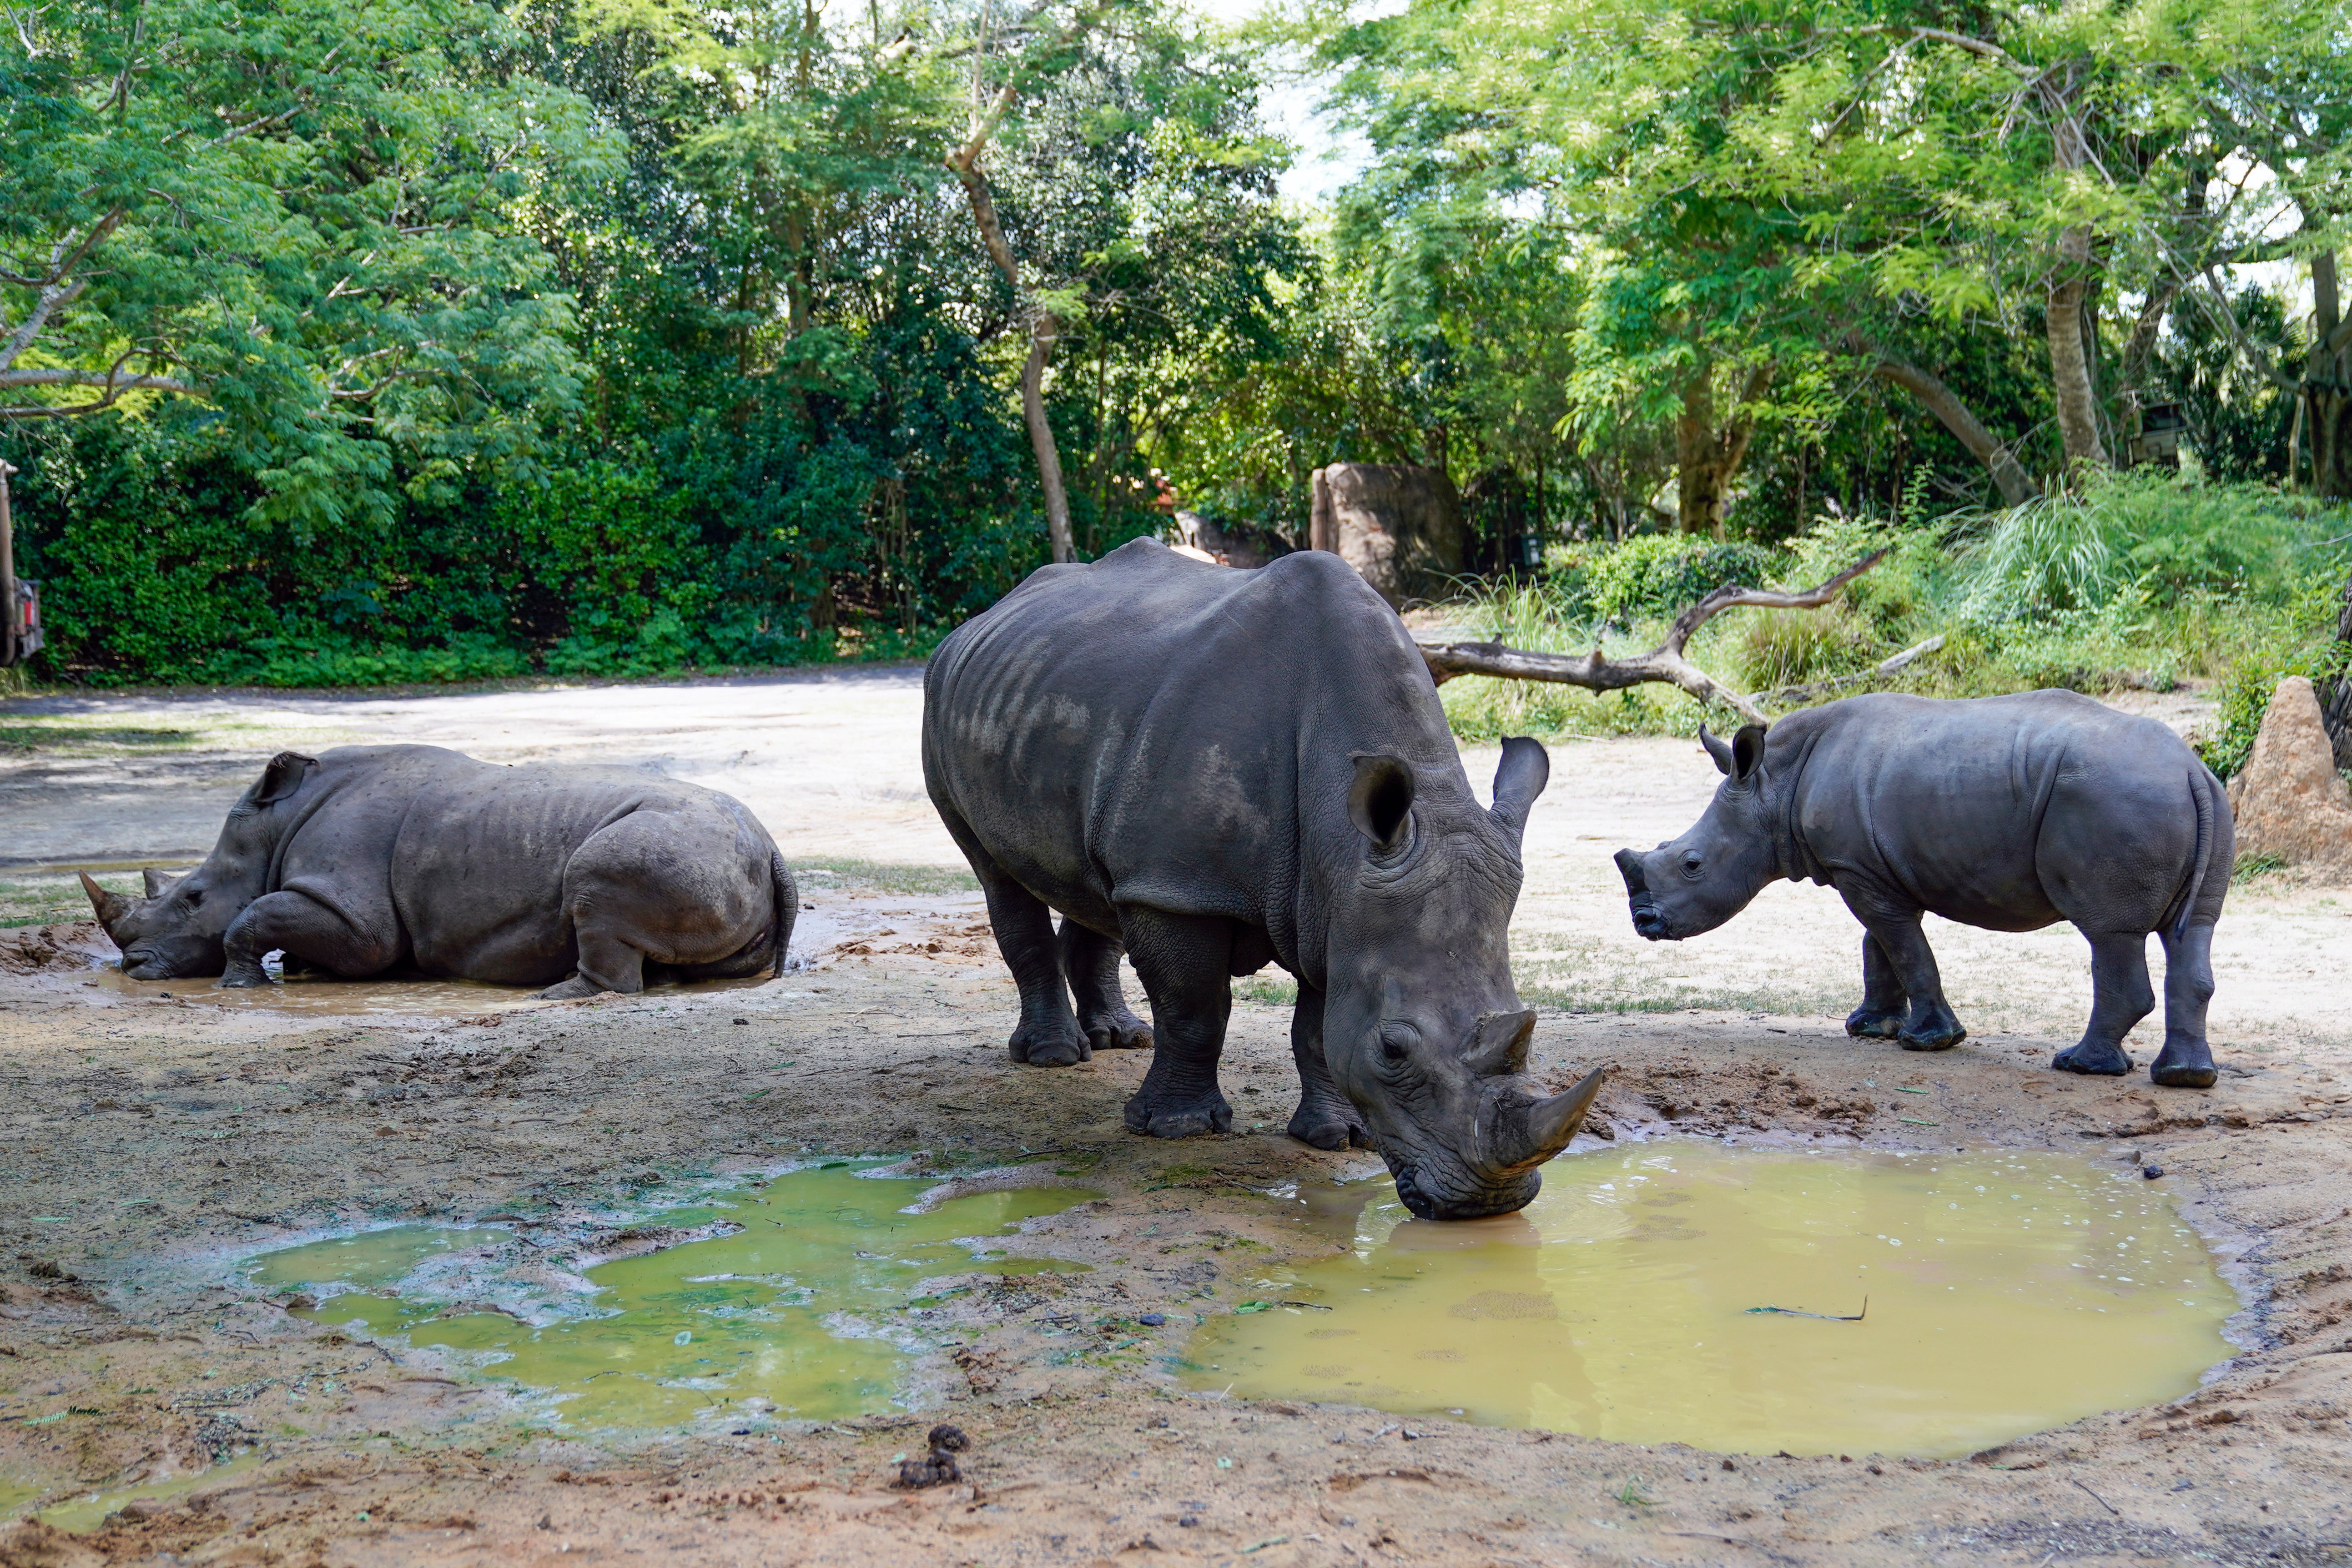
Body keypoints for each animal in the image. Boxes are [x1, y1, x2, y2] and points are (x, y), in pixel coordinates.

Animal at [81, 745, 794, 997]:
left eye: (193, 897)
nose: (133, 966)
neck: (271, 830)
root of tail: (769, 846)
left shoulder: (356, 916)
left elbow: (254, 917)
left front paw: (238, 985)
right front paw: (304, 971)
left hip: (676, 845)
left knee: (597, 880)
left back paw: (559, 994)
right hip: (712, 852)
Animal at [922, 537, 1605, 1220]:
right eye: (1393, 1050)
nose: (1486, 1205)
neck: (1343, 841)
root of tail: (987, 614)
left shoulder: (1339, 905)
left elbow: (1319, 1029)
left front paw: (1337, 1137)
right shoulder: (1185, 888)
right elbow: (1194, 1007)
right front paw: (1177, 1129)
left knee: (1101, 886)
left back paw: (1121, 1038)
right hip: (944, 704)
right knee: (997, 875)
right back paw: (1055, 1056)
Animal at [1612, 691, 2230, 1089]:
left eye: (1691, 864)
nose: (1643, 923)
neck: (1774, 787)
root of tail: (2190, 769)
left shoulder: (1858, 869)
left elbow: (1902, 947)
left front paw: (1928, 1041)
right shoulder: (1864, 866)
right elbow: (1879, 944)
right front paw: (1869, 1029)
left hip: (2115, 800)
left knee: (2108, 933)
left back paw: (2079, 1066)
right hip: (2201, 801)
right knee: (2191, 932)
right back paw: (2184, 1078)